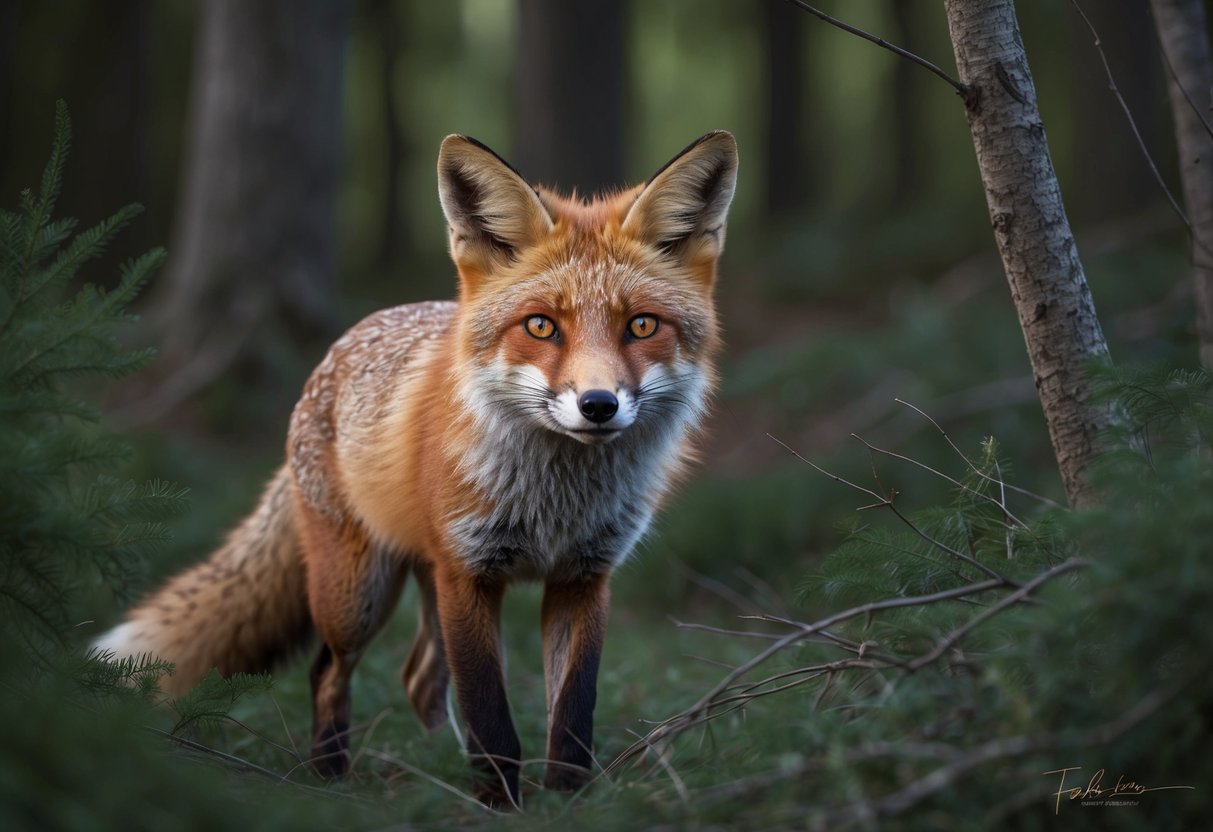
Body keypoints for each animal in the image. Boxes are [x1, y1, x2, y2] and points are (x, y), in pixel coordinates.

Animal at [92, 130, 737, 810]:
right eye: (541, 325)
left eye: (641, 325)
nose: (598, 405)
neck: (554, 503)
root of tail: (343, 344)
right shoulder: (469, 574)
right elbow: (491, 715)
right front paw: (500, 805)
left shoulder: (583, 578)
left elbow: (571, 713)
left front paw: (566, 801)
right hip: (359, 595)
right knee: (329, 670)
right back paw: (331, 776)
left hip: (423, 586)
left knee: (421, 678)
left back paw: (430, 768)